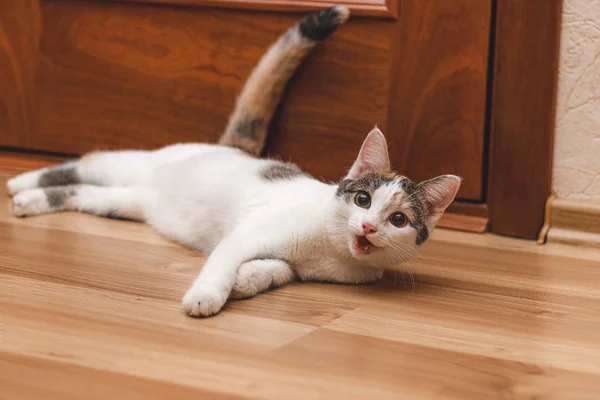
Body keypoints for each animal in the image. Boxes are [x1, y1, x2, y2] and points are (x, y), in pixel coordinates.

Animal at [5, 6, 460, 318]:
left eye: (398, 220)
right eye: (363, 200)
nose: (367, 227)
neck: (331, 252)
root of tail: (232, 147)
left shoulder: (293, 265)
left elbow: (273, 269)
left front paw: (246, 281)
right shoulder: (246, 234)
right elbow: (222, 260)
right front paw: (206, 296)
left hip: (126, 201)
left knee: (82, 192)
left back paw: (31, 201)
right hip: (130, 165)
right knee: (85, 162)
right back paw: (19, 183)